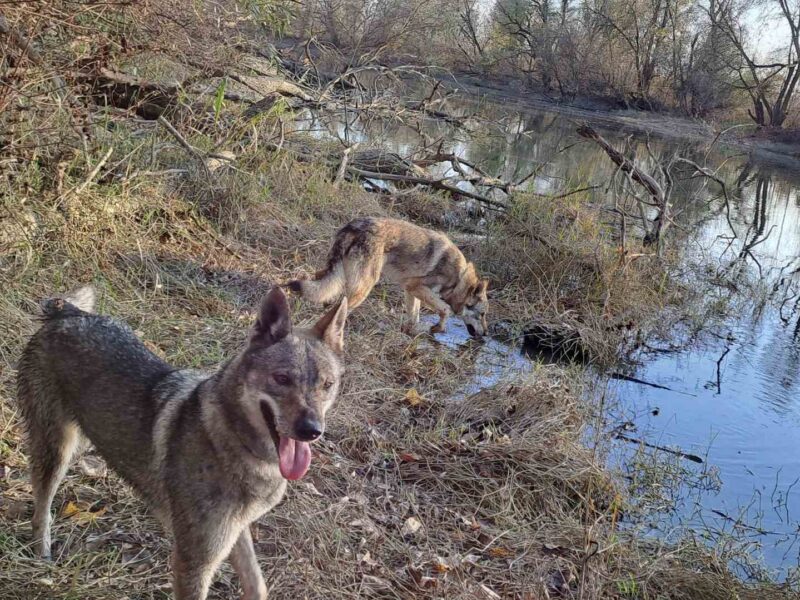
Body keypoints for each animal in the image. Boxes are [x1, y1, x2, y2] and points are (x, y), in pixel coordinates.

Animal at [18, 286, 346, 600]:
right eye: (282, 379)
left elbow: (257, 585)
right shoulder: (195, 560)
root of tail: (69, 313)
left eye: (327, 385)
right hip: (56, 452)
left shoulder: (235, 531)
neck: (231, 440)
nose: (312, 430)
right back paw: (42, 558)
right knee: (41, 510)